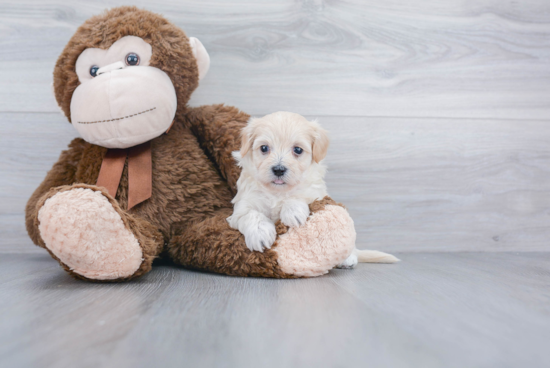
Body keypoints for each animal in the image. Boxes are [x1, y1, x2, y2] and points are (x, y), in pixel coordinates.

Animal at [226, 111, 398, 268]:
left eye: (298, 150)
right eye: (264, 148)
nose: (279, 169)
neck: (278, 191)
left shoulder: (317, 193)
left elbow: (300, 194)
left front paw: (292, 211)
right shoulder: (242, 206)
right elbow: (251, 215)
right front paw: (260, 234)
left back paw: (348, 258)